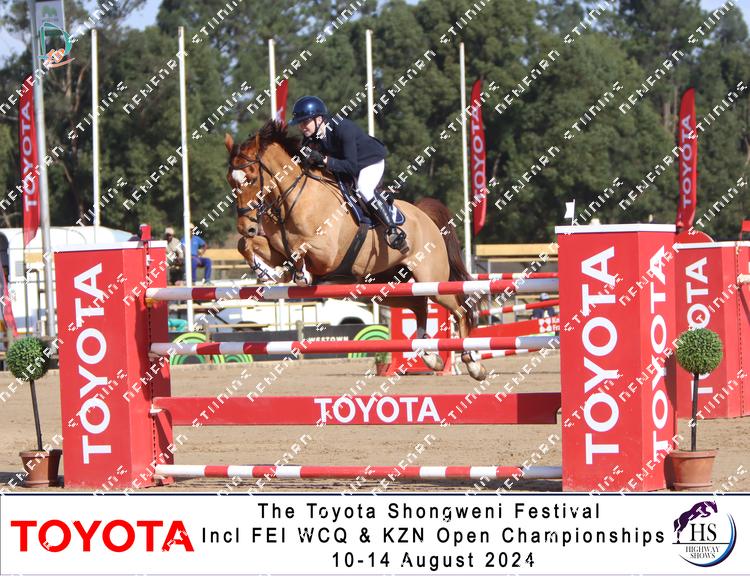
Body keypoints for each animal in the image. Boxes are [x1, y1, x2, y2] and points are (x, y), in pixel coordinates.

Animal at [224, 120, 487, 381]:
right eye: (230, 181)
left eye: (250, 178)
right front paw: (265, 271)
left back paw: (473, 364)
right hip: (384, 286)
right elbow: (246, 245)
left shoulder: (327, 253)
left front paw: (300, 274)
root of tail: (424, 215)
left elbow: (301, 248)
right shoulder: (277, 248)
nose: (246, 227)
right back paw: (430, 356)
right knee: (419, 305)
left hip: (431, 279)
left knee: (459, 309)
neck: (292, 198)